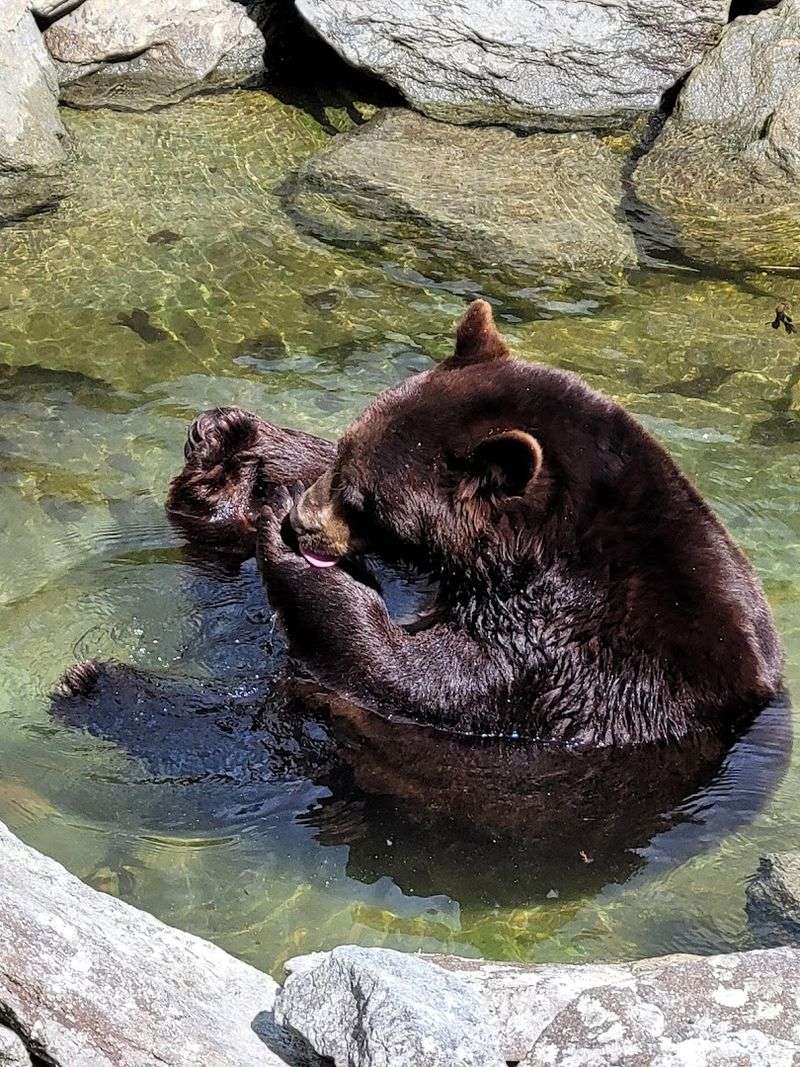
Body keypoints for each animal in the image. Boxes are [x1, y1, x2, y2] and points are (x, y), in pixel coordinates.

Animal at [167, 299, 782, 748]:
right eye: (344, 452)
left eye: (363, 498)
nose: (302, 523)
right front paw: (235, 445)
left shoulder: (571, 664)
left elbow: (415, 679)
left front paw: (293, 550)